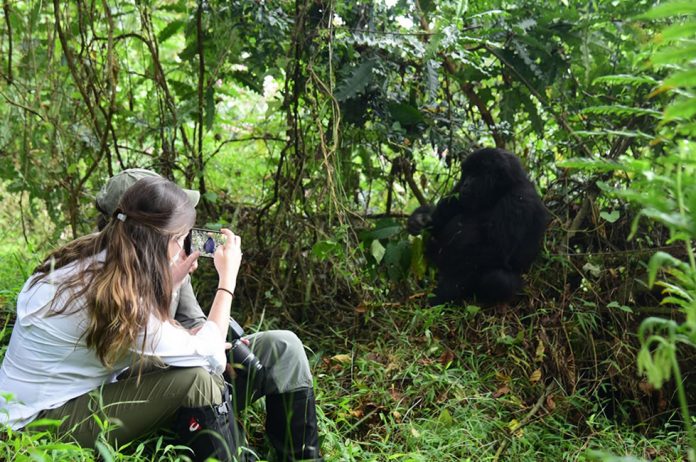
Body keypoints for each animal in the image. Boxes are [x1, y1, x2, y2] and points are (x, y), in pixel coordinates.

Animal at [408, 148, 548, 304]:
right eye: (467, 173)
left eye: (475, 175)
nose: (465, 184)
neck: (500, 191)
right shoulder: (459, 192)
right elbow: (440, 220)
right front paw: (419, 218)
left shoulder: (519, 198)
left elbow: (495, 250)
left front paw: (446, 288)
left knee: (497, 279)